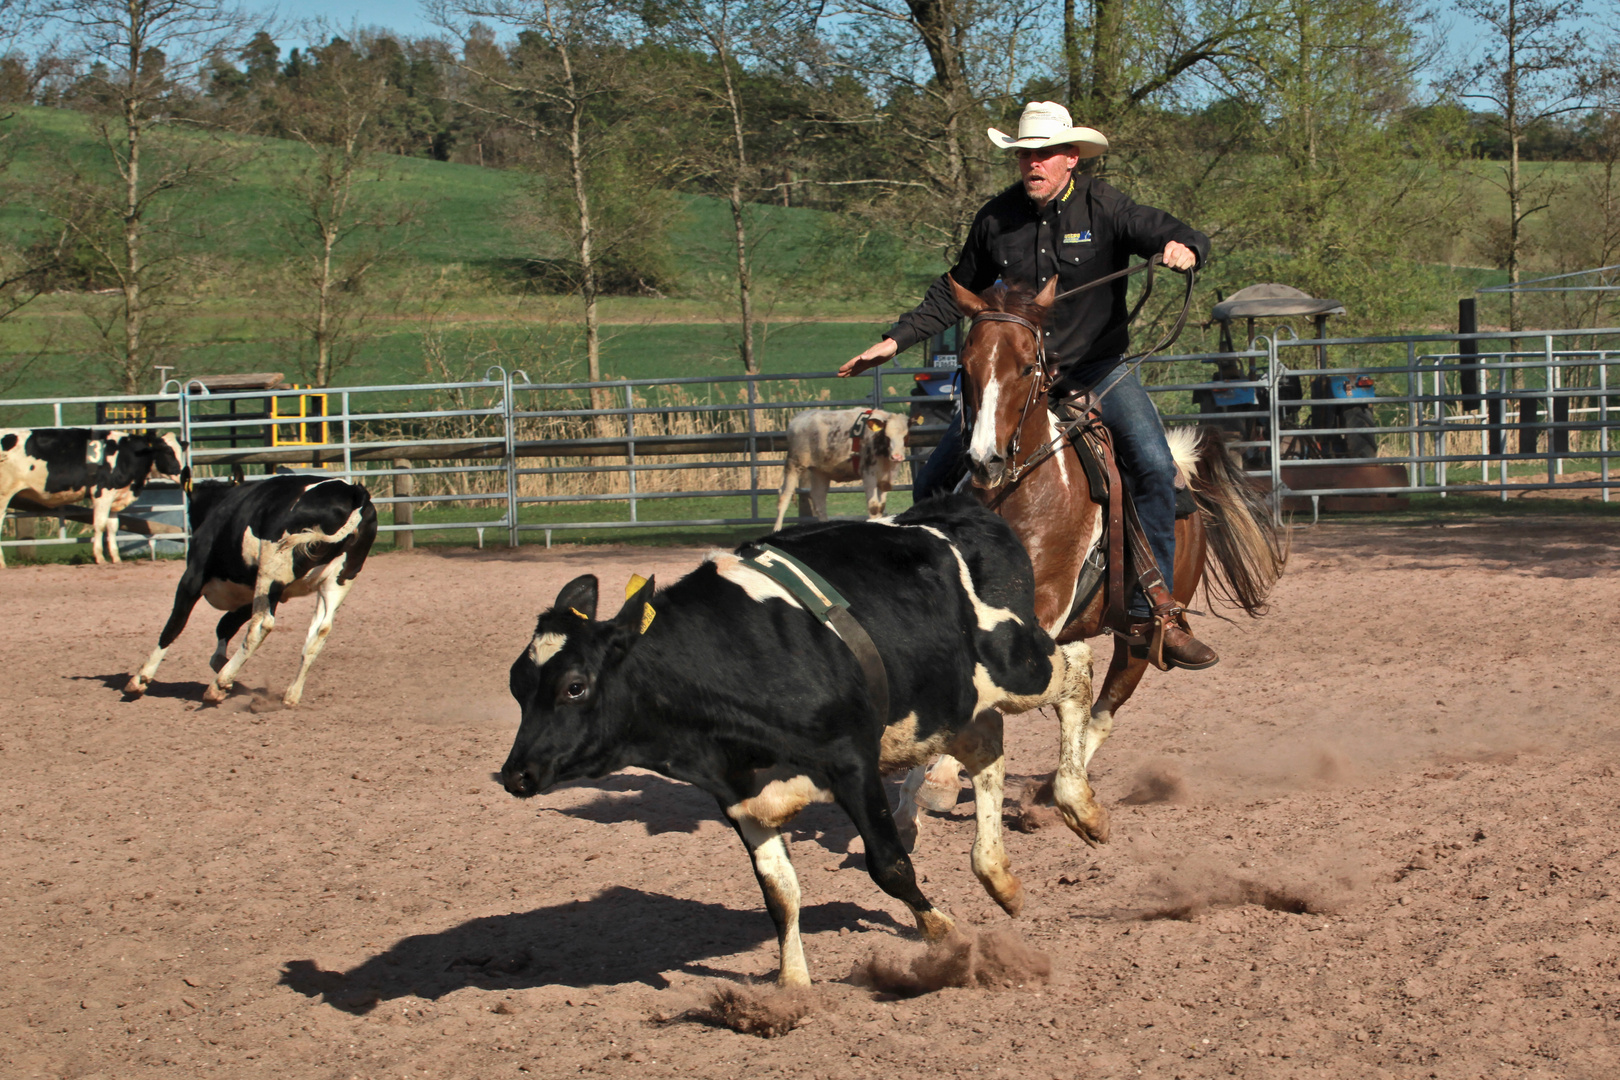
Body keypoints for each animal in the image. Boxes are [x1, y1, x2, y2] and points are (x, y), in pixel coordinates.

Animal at [0, 427, 187, 569]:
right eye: (168, 451)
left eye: (181, 451)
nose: (185, 474)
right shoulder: (102, 494)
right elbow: (100, 525)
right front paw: (100, 557)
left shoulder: (115, 497)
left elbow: (112, 527)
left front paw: (116, 558)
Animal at [124, 476, 377, 709]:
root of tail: (354, 491)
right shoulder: (251, 596)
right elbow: (224, 626)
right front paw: (224, 668)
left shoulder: (192, 579)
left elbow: (174, 625)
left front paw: (140, 679)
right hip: (337, 582)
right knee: (320, 631)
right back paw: (290, 694)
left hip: (271, 573)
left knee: (261, 625)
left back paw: (217, 686)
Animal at [498, 498, 1095, 990]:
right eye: (516, 686)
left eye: (575, 686)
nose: (516, 774)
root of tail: (970, 512)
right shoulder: (740, 797)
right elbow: (779, 893)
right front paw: (791, 987)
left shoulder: (853, 764)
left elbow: (889, 865)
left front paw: (943, 933)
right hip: (953, 703)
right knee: (988, 754)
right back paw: (998, 876)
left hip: (1018, 663)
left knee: (1078, 671)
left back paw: (1079, 804)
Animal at [894, 275, 1283, 848]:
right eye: (965, 365)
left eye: (1026, 366)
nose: (985, 460)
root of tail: (1182, 471)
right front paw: (913, 797)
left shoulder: (1046, 604)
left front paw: (939, 779)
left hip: (1141, 635)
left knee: (1102, 713)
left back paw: (1050, 795)